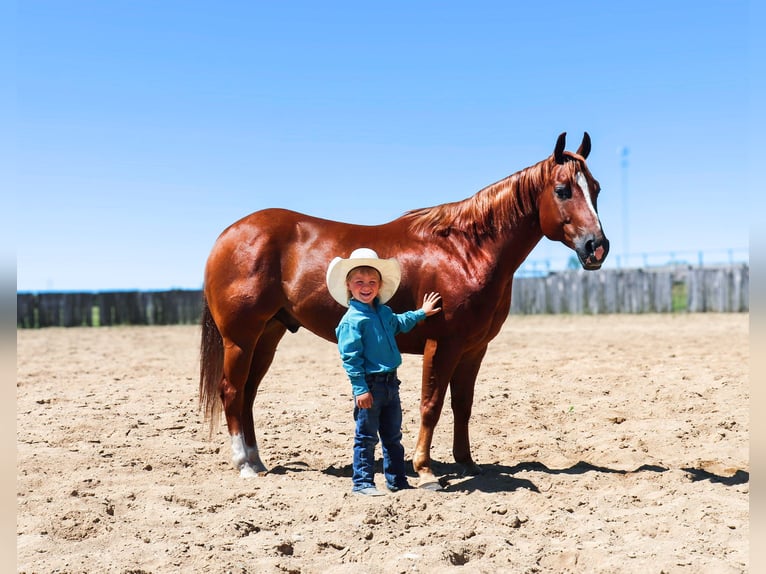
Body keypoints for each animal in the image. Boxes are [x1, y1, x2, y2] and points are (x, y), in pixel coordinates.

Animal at [200, 133, 612, 488]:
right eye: (562, 190)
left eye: (595, 189)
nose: (597, 247)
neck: (465, 250)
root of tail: (228, 236)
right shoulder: (442, 344)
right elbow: (431, 403)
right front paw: (425, 468)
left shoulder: (474, 349)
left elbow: (462, 404)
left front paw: (467, 462)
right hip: (241, 339)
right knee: (232, 391)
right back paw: (244, 465)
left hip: (268, 335)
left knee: (248, 393)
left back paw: (257, 461)